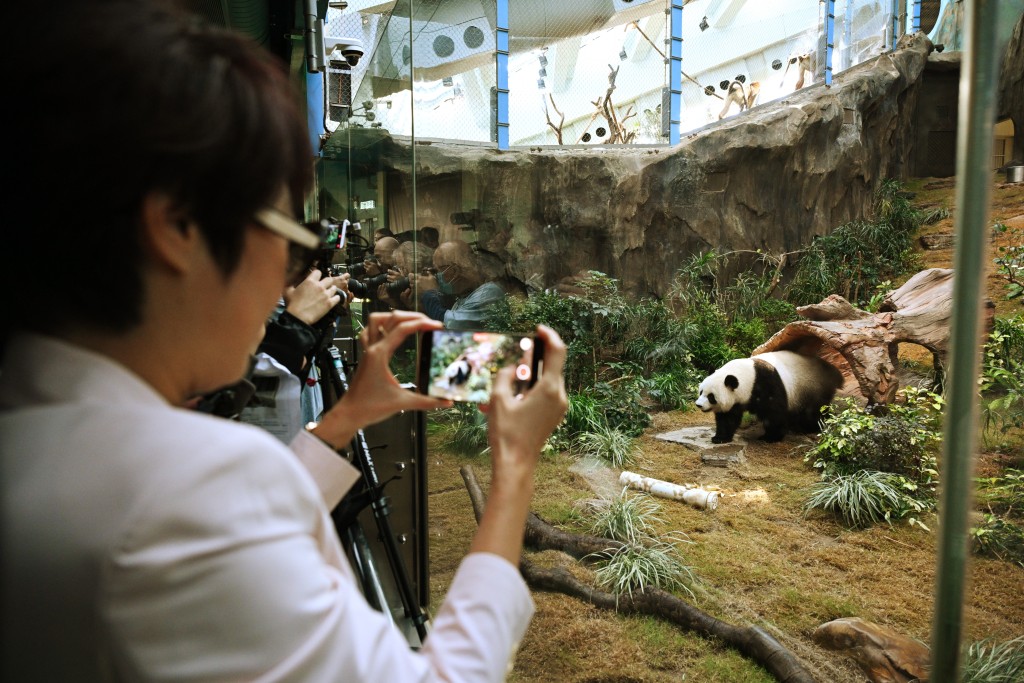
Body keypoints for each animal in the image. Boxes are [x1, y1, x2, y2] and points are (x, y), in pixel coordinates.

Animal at [692, 350, 843, 446]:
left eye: (711, 397)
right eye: (701, 392)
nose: (698, 405)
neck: (749, 375)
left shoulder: (767, 382)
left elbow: (774, 412)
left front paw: (771, 437)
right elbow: (728, 417)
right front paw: (720, 438)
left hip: (812, 388)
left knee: (814, 411)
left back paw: (811, 427)